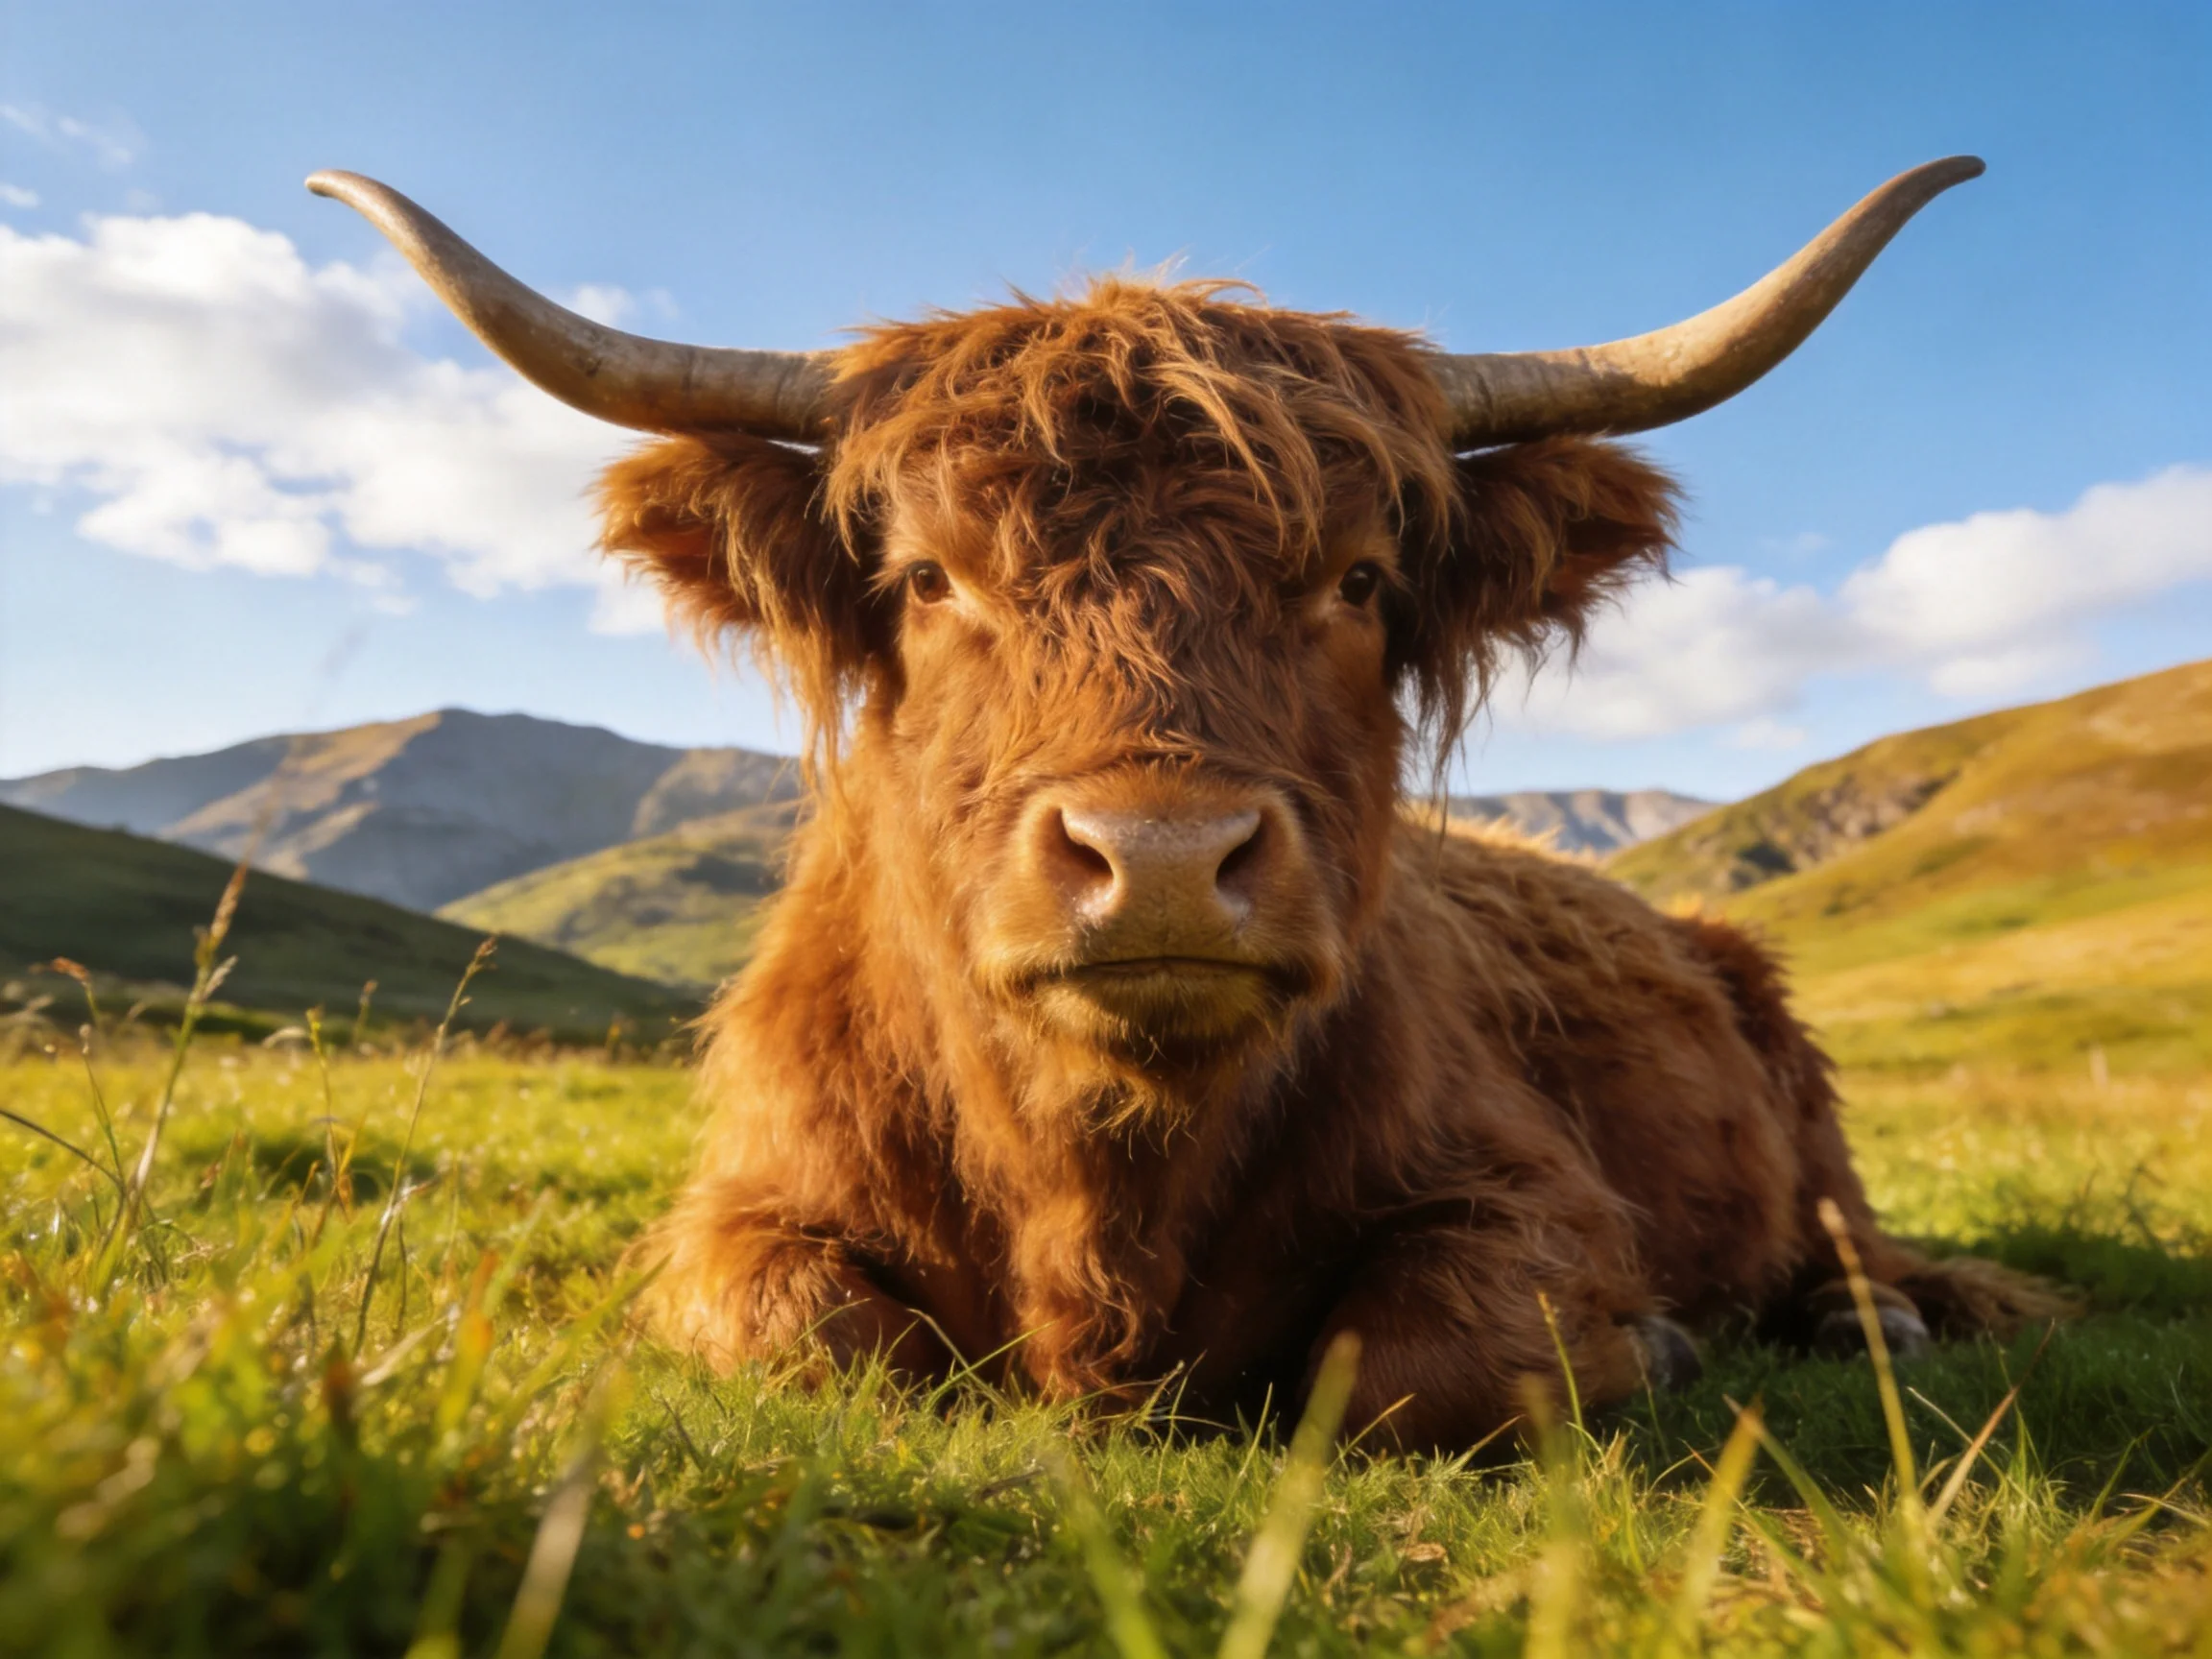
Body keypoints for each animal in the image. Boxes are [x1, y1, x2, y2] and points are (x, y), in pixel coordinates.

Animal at [313, 158, 2067, 1448]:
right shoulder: (745, 1207)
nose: (1157, 860)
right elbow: (807, 1338)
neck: (1106, 1181)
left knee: (1850, 1234)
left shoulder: (1526, 1189)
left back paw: (1881, 1311)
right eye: (928, 577)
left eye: (1357, 579)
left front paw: (1655, 1341)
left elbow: (1420, 1360)